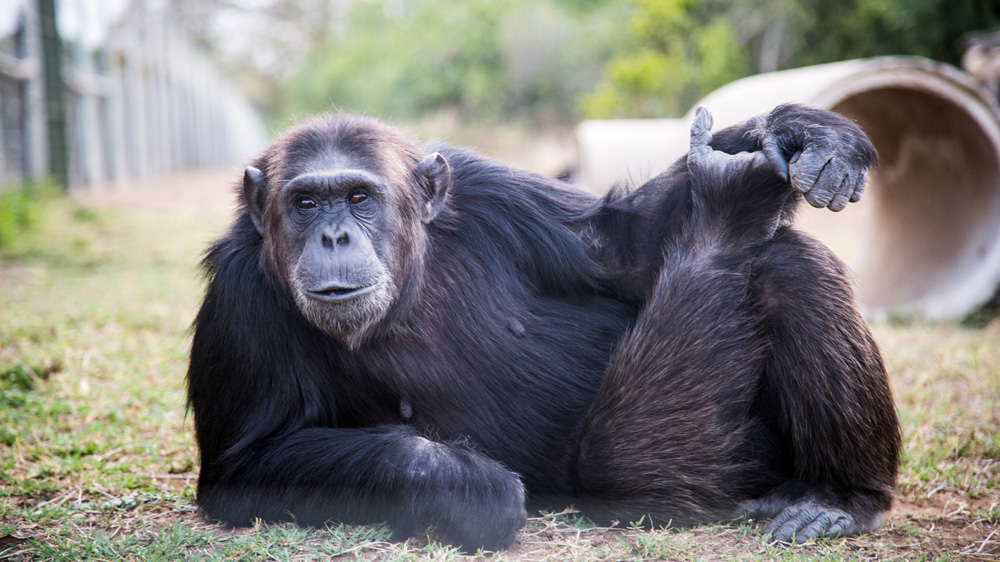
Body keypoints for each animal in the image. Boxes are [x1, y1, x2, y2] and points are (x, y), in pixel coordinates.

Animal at [188, 104, 900, 548]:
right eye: (306, 202)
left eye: (358, 197)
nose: (333, 234)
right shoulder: (239, 297)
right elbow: (245, 464)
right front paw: (467, 485)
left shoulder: (489, 191)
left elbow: (621, 245)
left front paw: (805, 131)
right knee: (626, 465)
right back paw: (730, 209)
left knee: (785, 264)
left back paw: (837, 496)